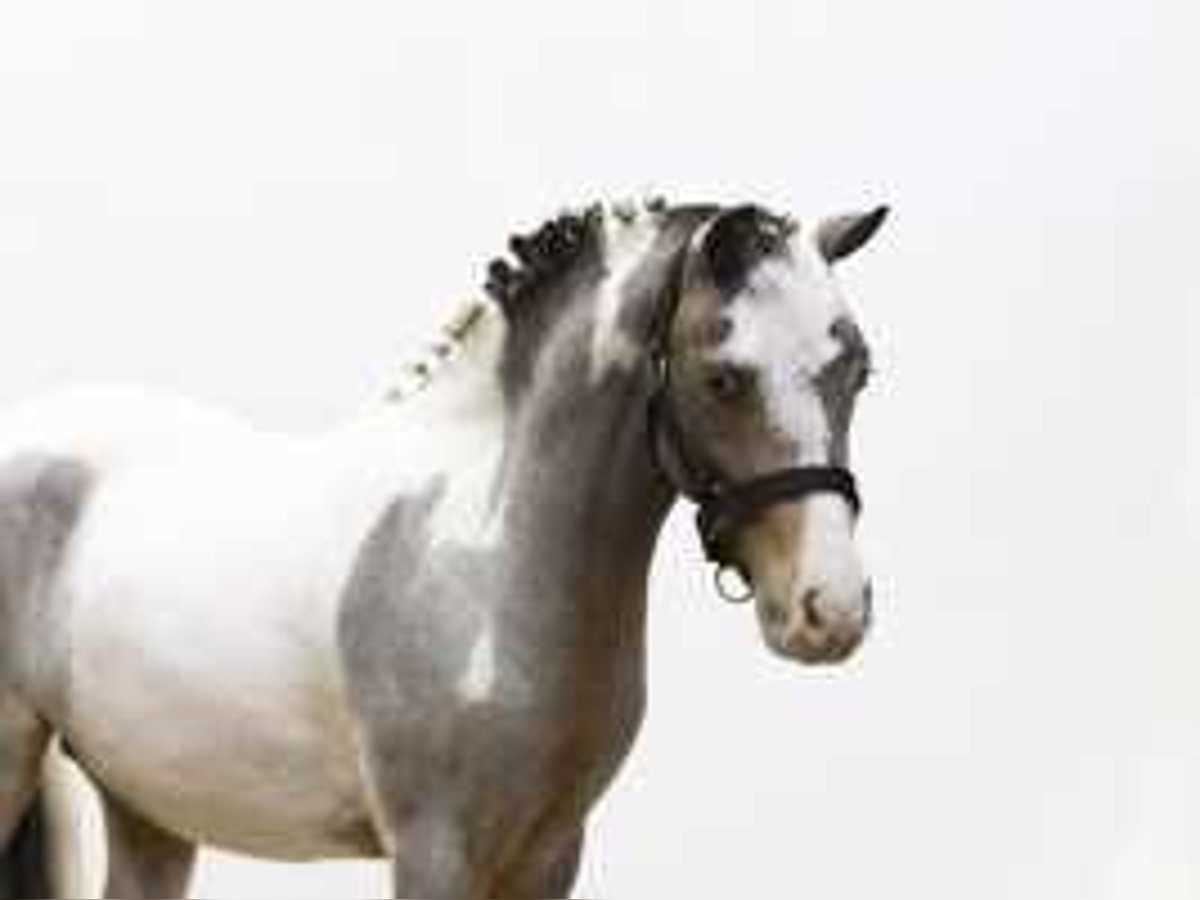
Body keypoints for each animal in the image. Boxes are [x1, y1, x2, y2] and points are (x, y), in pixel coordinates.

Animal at [0, 199, 883, 900]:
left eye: (859, 370)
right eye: (724, 376)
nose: (831, 610)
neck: (488, 554)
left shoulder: (549, 854)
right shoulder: (437, 850)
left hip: (147, 799)